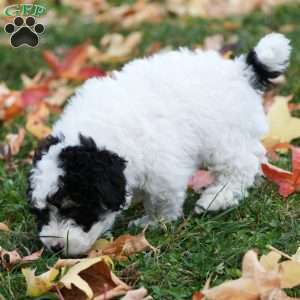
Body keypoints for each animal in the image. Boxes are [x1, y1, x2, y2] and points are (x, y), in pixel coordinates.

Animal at [27, 32, 290, 254]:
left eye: (73, 208)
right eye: (41, 213)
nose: (54, 248)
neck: (100, 135)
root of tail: (241, 71)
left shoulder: (162, 167)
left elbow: (161, 198)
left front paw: (154, 222)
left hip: (224, 136)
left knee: (241, 165)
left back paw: (216, 198)